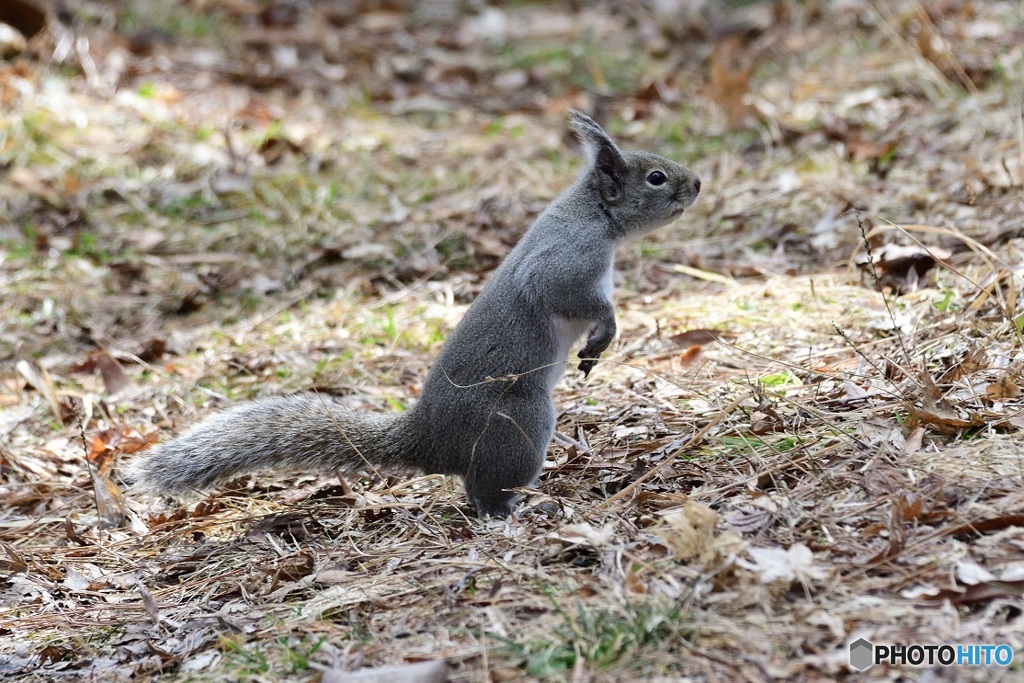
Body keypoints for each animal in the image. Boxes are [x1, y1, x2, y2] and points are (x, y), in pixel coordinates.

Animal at [128, 111, 700, 518]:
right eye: (656, 178)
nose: (696, 184)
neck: (596, 216)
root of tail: (431, 443)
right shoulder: (565, 262)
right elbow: (571, 296)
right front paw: (605, 332)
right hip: (518, 421)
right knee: (485, 491)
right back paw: (515, 509)